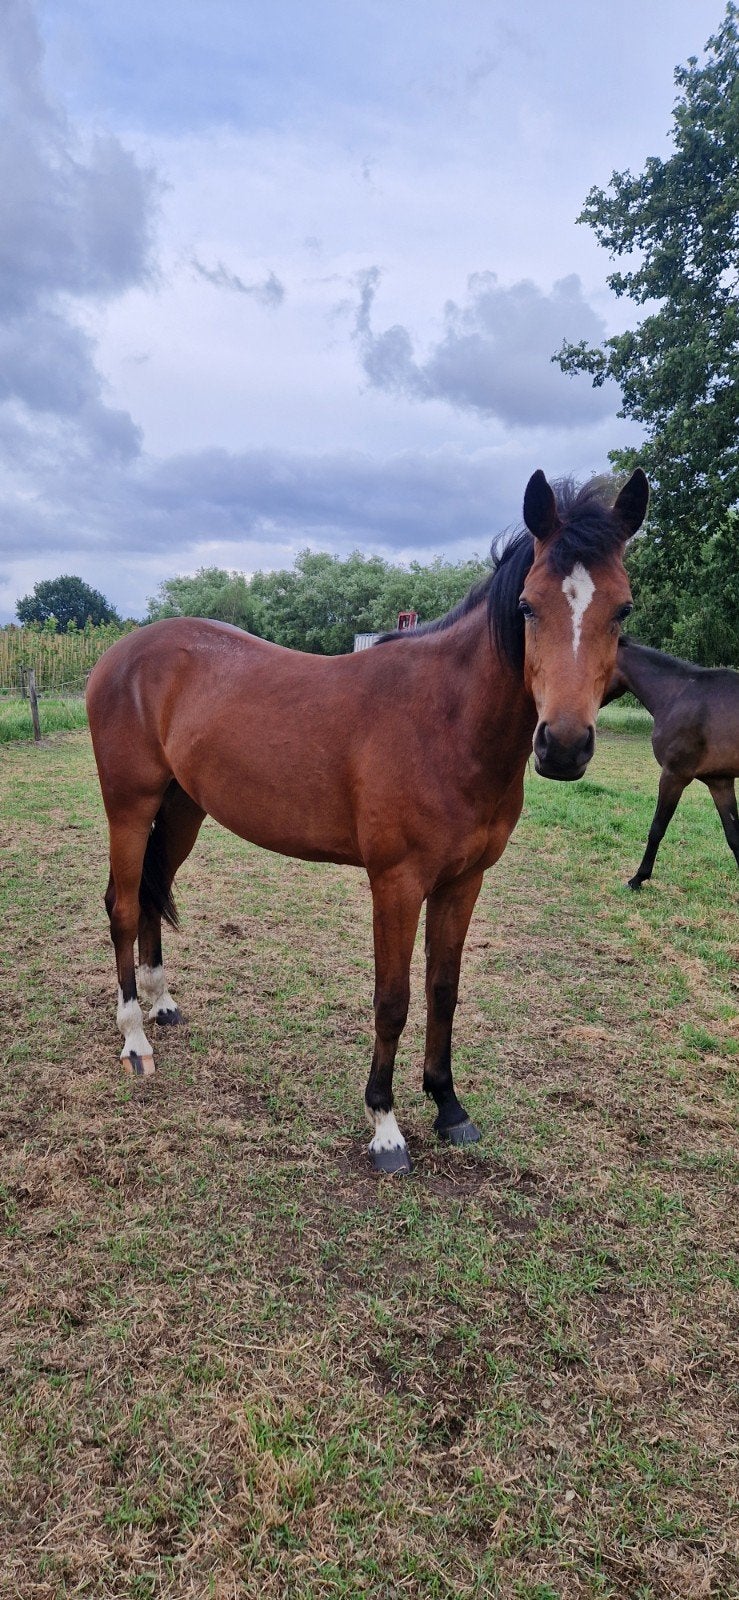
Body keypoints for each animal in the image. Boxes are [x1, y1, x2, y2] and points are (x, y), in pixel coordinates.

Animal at [86, 467, 648, 1174]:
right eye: (527, 606)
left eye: (622, 610)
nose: (565, 746)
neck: (445, 723)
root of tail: (121, 653)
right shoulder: (397, 883)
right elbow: (393, 999)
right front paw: (385, 1126)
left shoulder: (464, 882)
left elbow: (443, 990)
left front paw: (448, 1107)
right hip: (130, 806)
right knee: (125, 905)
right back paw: (134, 1039)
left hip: (183, 808)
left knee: (153, 893)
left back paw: (161, 1004)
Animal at [604, 637, 739, 889]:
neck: (677, 694)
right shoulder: (720, 782)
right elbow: (734, 835)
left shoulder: (674, 776)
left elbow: (657, 828)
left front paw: (638, 878)